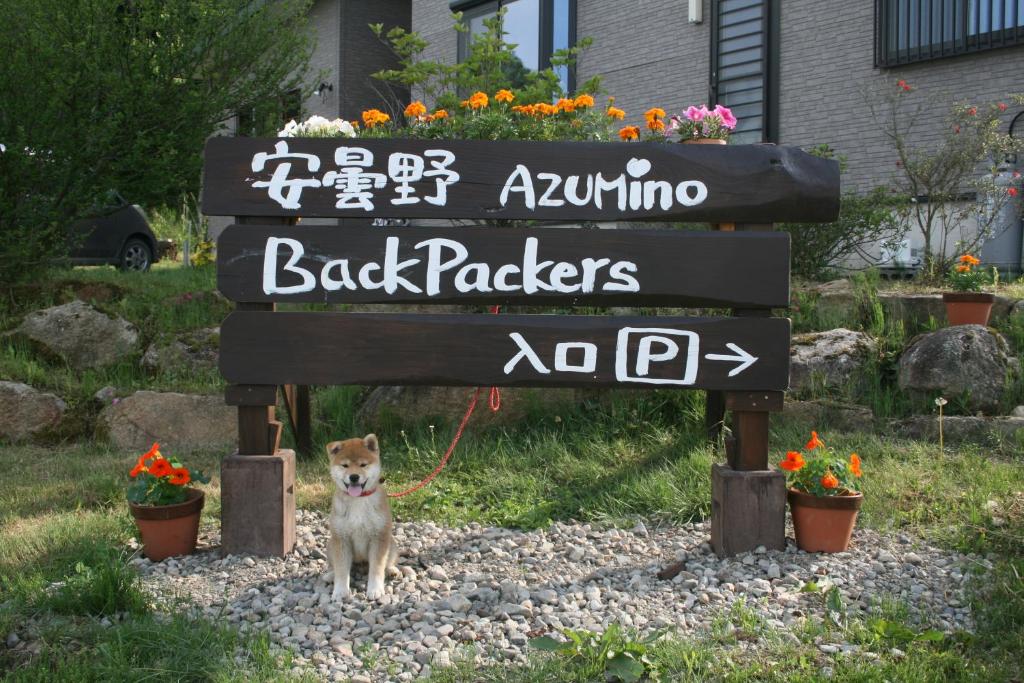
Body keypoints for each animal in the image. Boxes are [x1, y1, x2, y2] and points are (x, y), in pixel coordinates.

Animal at [325, 436, 397, 602]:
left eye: (363, 465)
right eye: (345, 465)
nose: (354, 477)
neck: (358, 500)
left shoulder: (379, 537)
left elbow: (377, 567)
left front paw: (375, 589)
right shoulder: (341, 538)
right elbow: (341, 569)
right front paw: (340, 591)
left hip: (391, 543)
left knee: (389, 561)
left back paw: (392, 570)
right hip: (331, 545)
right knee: (335, 566)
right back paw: (330, 575)